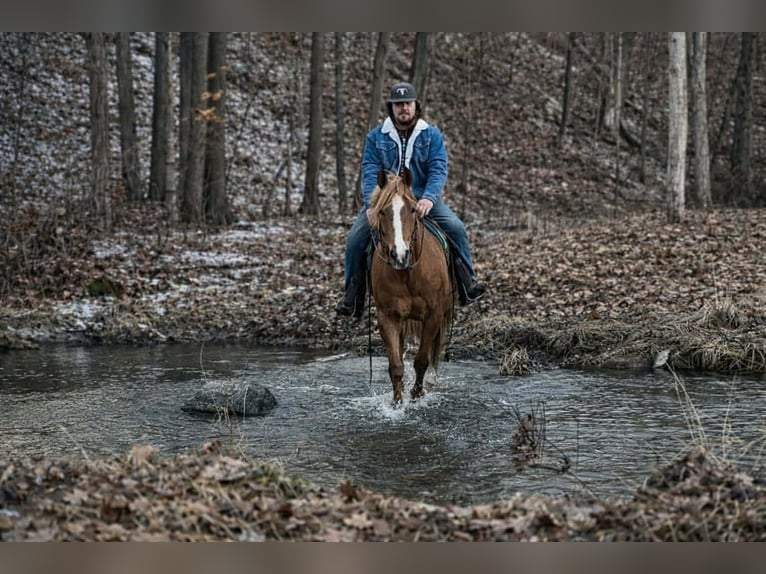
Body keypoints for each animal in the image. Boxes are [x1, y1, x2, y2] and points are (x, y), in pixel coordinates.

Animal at [368, 168, 454, 404]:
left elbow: (422, 360)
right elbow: (396, 366)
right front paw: (397, 402)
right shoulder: (387, 317)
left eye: (413, 210)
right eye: (382, 212)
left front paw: (417, 394)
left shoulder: (433, 315)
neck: (408, 274)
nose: (399, 255)